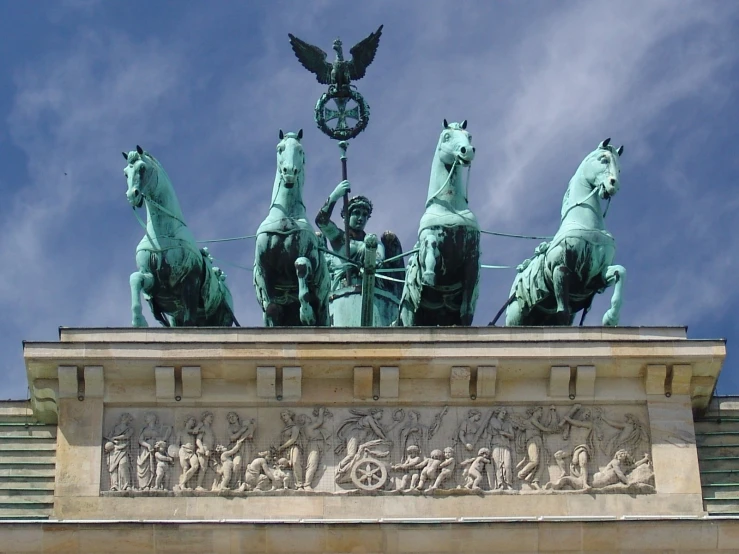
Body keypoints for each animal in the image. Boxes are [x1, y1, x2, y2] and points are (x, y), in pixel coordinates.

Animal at [123, 144, 236, 326]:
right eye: (126, 172)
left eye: (142, 168)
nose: (131, 196)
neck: (163, 234)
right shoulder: (155, 282)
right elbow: (135, 278)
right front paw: (138, 320)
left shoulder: (189, 284)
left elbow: (189, 321)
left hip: (222, 319)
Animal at [254, 131, 330, 326]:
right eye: (280, 148)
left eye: (300, 150)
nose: (289, 172)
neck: (286, 217)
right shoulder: (263, 270)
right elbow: (272, 308)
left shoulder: (311, 258)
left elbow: (301, 264)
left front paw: (306, 313)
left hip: (323, 309)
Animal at [398, 120, 480, 326]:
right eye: (447, 136)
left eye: (469, 136)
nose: (467, 150)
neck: (450, 208)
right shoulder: (429, 238)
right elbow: (430, 244)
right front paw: (428, 274)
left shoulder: (472, 255)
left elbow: (467, 307)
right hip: (408, 310)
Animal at [500, 138, 628, 326]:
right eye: (603, 159)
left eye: (619, 168)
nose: (614, 185)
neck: (585, 223)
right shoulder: (560, 269)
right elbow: (563, 313)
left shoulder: (597, 276)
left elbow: (620, 271)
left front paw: (611, 317)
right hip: (516, 315)